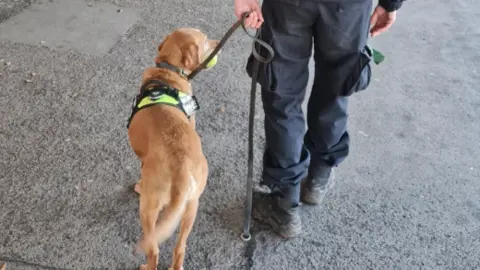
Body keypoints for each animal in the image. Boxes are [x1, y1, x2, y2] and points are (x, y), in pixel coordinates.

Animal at [126, 28, 218, 270]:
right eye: (205, 41)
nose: (217, 43)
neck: (168, 72)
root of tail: (181, 170)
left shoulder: (143, 159)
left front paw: (138, 184)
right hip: (191, 207)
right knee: (179, 249)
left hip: (148, 208)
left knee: (154, 250)